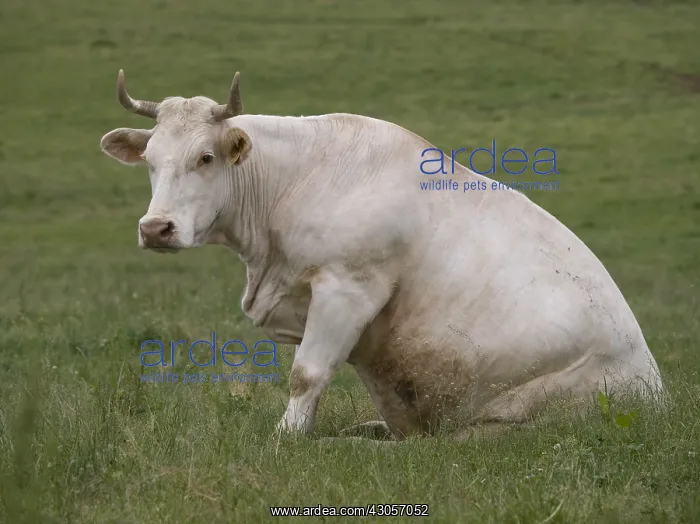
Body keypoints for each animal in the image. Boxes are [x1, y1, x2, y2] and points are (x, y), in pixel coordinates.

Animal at [100, 69, 663, 440]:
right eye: (150, 160)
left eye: (206, 157)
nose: (156, 228)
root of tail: (655, 387)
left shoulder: (348, 286)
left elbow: (308, 373)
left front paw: (287, 439)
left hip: (525, 416)